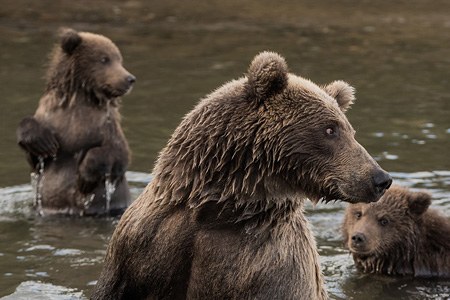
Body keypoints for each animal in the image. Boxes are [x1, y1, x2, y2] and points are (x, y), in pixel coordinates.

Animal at [16, 28, 135, 216]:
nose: (129, 79)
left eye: (119, 59)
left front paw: (84, 179)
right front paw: (44, 142)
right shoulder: (52, 116)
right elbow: (34, 156)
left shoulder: (104, 125)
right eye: (104, 59)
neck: (80, 97)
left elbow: (117, 153)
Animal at [90, 50, 390, 298]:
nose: (380, 178)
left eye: (349, 130)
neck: (217, 212)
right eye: (330, 129)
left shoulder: (268, 268)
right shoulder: (141, 247)